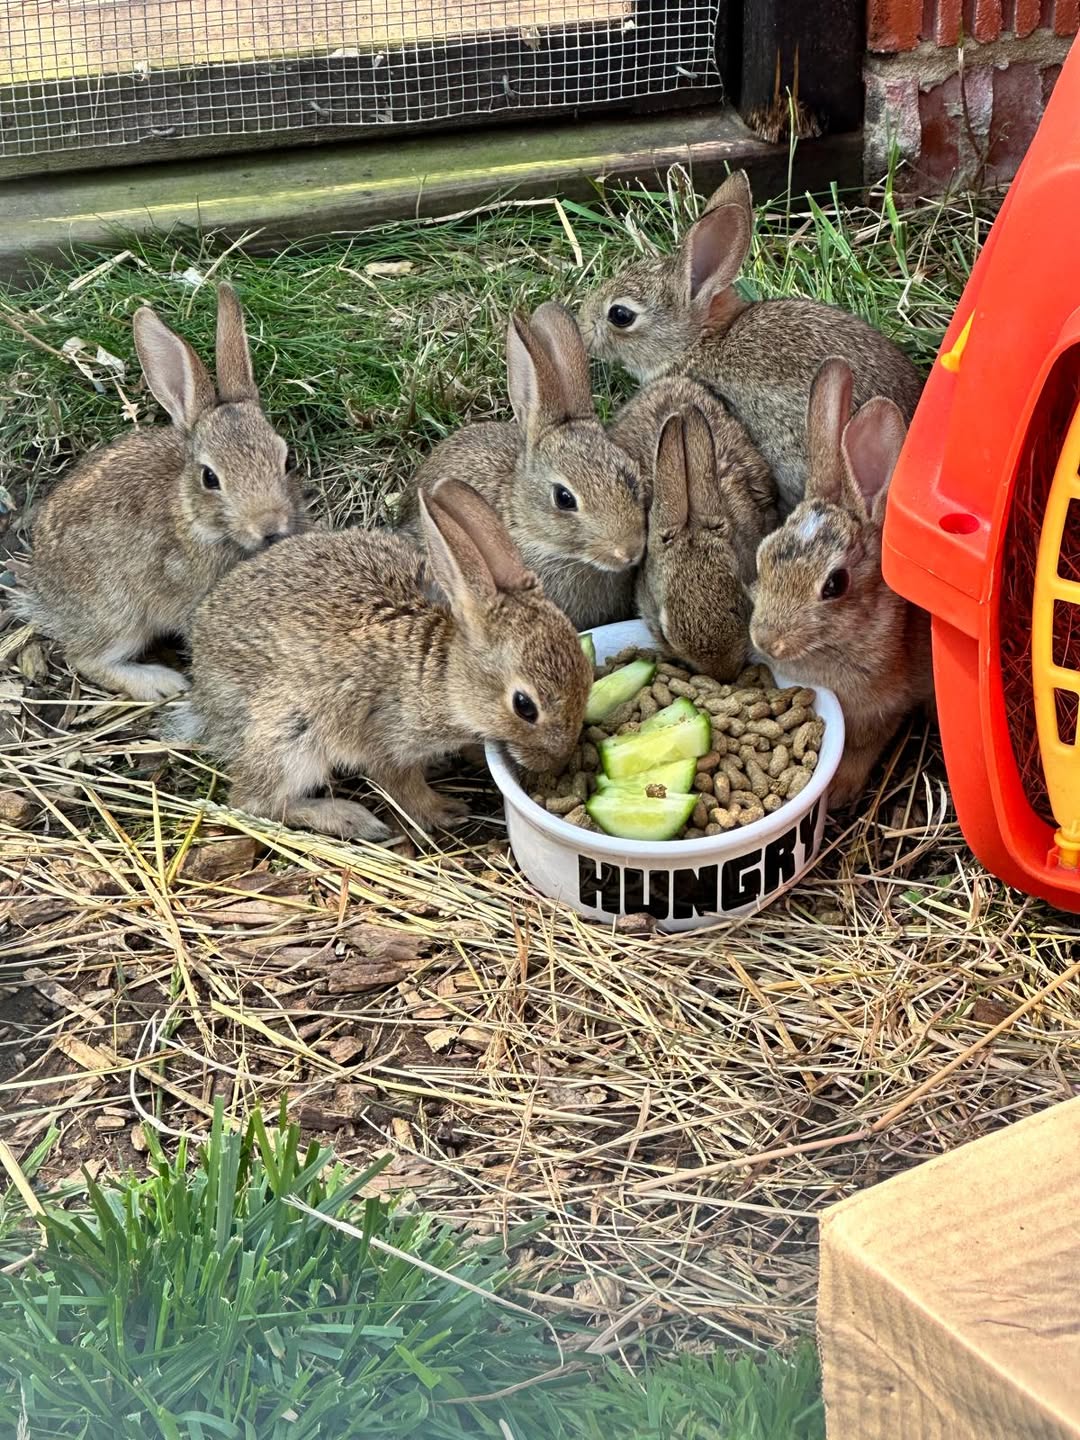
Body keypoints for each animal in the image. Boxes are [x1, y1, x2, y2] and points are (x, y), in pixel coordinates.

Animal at [11, 283, 305, 702]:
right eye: (210, 478)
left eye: (287, 460)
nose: (269, 526)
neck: (192, 519)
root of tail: (46, 596)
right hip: (118, 615)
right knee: (84, 658)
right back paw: (161, 683)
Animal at [169, 478, 593, 842]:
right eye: (524, 706)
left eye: (588, 678)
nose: (555, 762)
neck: (444, 675)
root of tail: (204, 696)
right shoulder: (389, 740)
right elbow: (402, 786)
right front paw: (444, 810)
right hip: (288, 734)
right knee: (254, 802)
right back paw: (351, 819)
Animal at [749, 357, 934, 807]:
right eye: (762, 558)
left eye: (835, 584)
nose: (767, 640)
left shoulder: (884, 710)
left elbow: (863, 748)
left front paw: (838, 791)